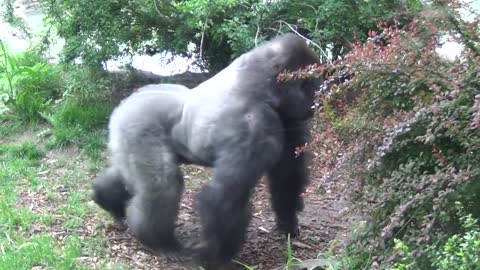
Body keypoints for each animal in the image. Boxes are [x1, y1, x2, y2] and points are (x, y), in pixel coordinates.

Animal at [92, 33, 320, 266]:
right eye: (310, 84)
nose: (316, 102)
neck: (263, 83)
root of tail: (123, 106)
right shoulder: (253, 122)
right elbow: (228, 193)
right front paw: (215, 257)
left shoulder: (286, 116)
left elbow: (287, 173)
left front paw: (288, 222)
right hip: (138, 125)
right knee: (163, 184)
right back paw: (158, 241)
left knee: (130, 175)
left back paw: (108, 200)